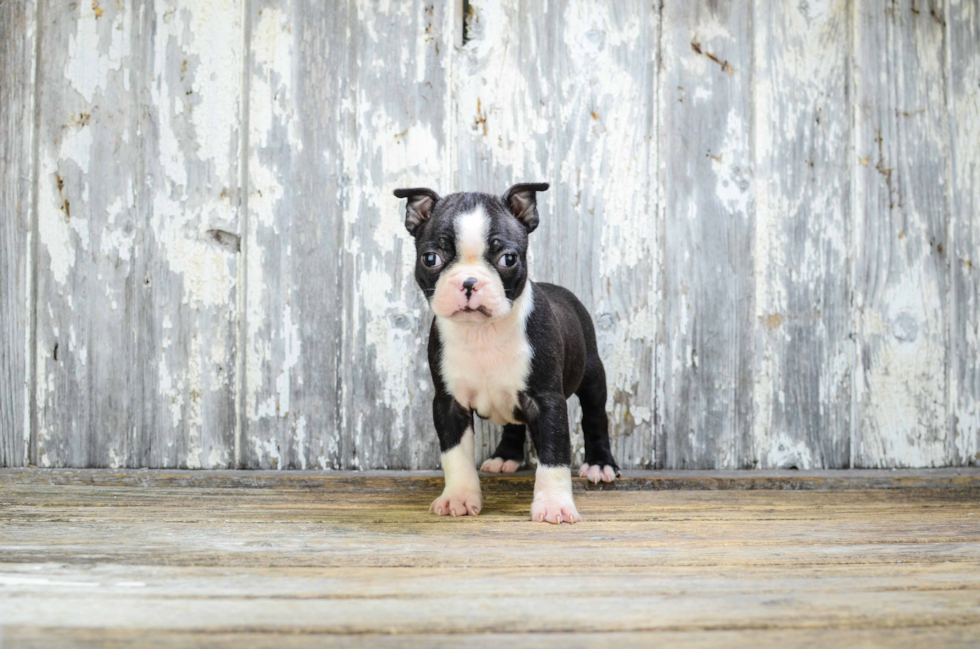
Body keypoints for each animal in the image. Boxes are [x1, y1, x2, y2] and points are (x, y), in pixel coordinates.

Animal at [392, 181, 616, 520]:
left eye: (508, 259)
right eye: (430, 258)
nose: (469, 282)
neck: (482, 333)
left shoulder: (547, 400)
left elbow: (555, 453)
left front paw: (554, 504)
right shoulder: (449, 403)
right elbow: (455, 454)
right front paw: (458, 497)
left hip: (592, 373)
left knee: (595, 417)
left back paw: (601, 464)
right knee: (514, 424)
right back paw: (505, 457)